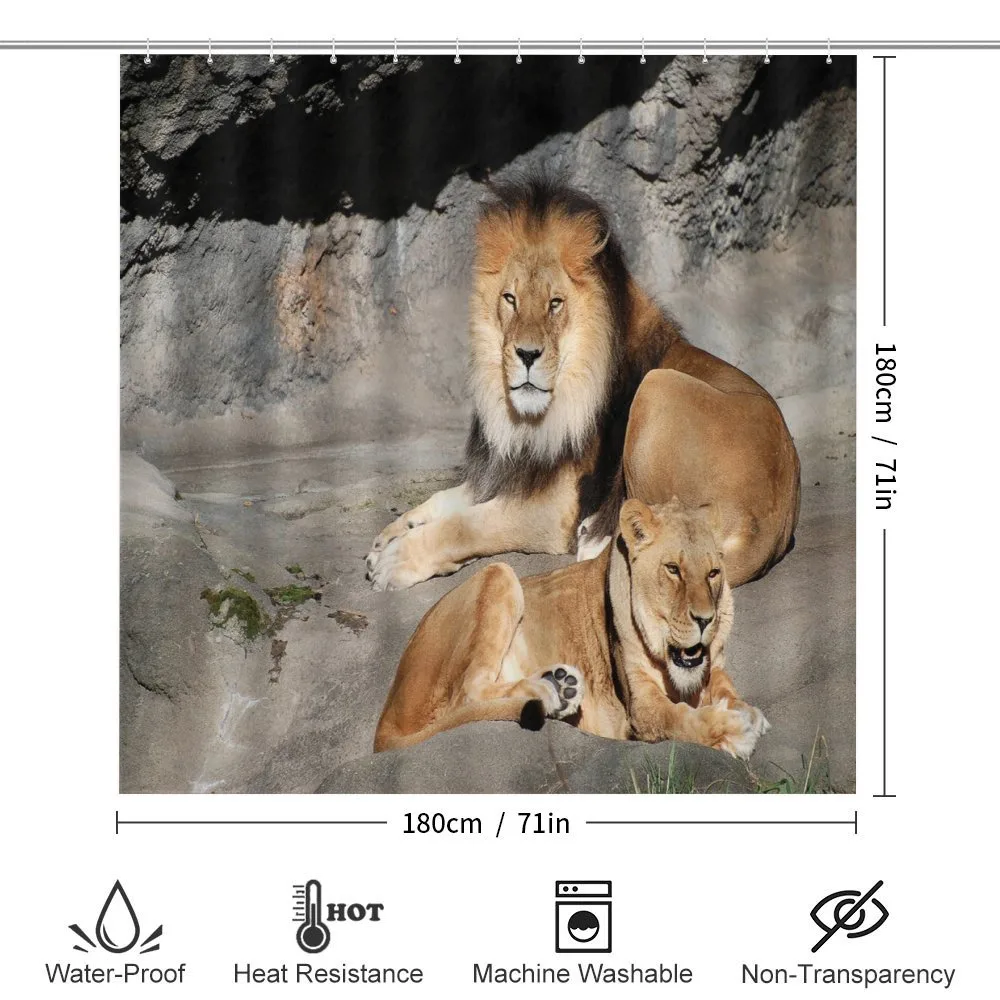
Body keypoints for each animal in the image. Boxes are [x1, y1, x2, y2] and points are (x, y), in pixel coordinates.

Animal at [366, 178, 800, 592]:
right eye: (510, 299)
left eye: (555, 303)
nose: (526, 354)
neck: (531, 418)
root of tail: (765, 533)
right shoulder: (515, 470)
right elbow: (446, 498)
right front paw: (389, 536)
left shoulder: (555, 508)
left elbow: (466, 525)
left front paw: (397, 559)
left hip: (657, 387)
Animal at [374, 498, 770, 759]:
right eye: (673, 569)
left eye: (713, 573)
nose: (705, 619)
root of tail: (387, 713)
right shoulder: (640, 707)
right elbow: (678, 719)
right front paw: (734, 730)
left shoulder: (712, 666)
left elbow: (727, 688)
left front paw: (747, 713)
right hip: (498, 572)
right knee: (469, 693)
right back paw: (550, 692)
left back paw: (561, 686)